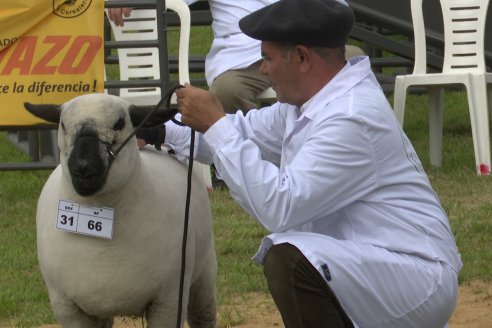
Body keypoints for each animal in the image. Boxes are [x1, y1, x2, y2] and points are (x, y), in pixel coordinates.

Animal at [24, 93, 217, 326]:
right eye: (62, 124)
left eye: (120, 123)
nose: (83, 168)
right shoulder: (66, 306)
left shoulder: (169, 300)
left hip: (204, 272)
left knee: (203, 315)